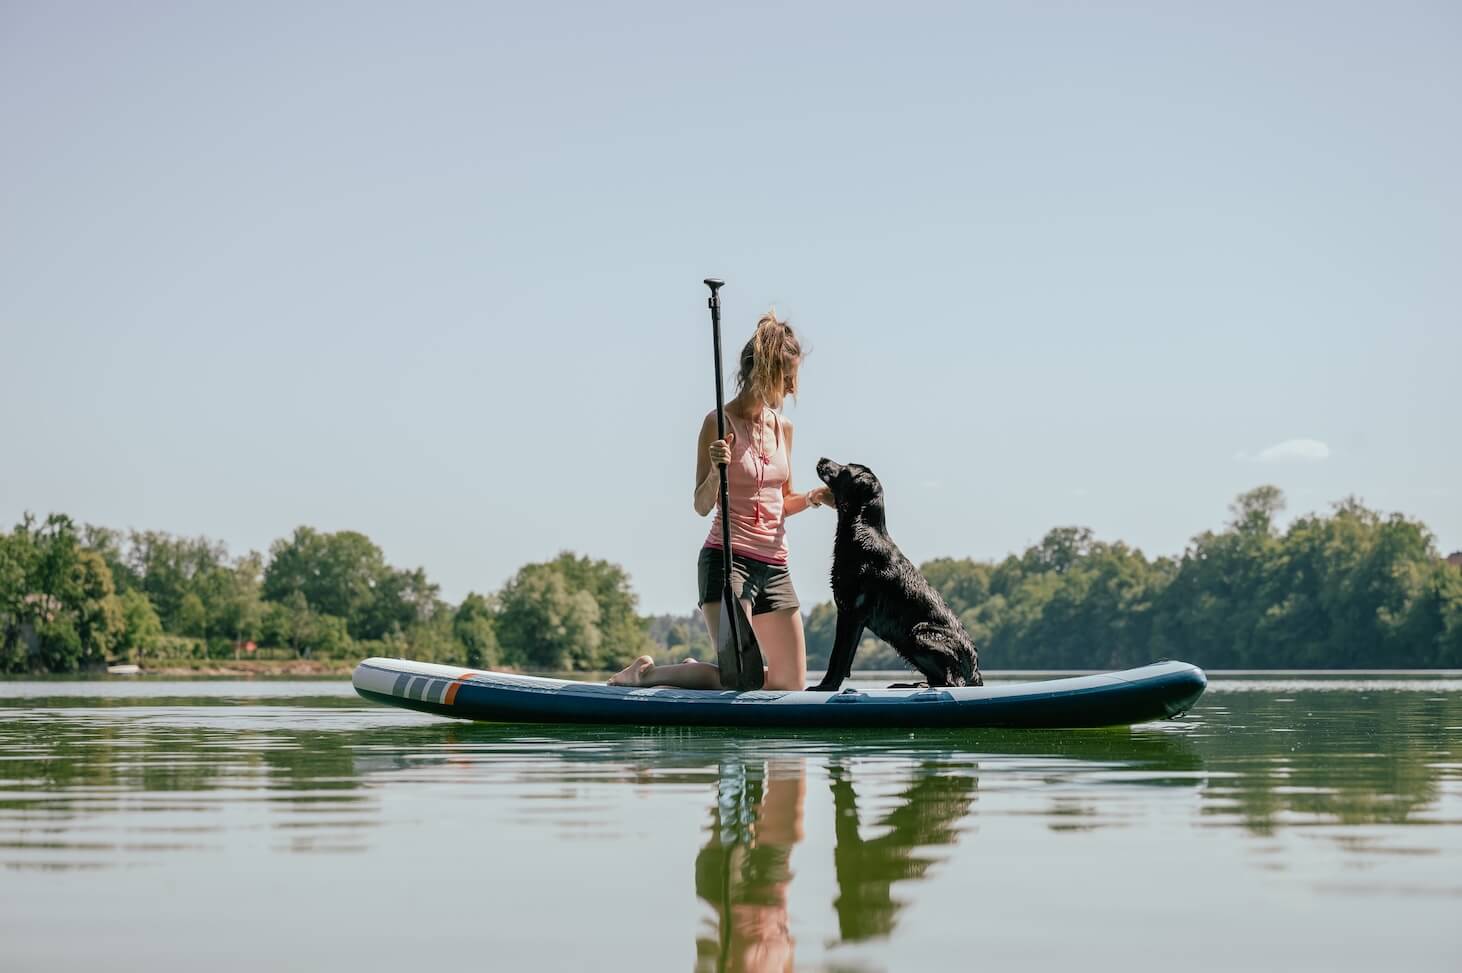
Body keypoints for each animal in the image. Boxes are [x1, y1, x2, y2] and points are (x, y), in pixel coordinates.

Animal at [812, 455, 982, 689]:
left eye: (845, 469)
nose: (822, 458)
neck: (862, 529)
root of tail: (975, 673)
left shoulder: (852, 612)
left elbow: (838, 657)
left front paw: (825, 687)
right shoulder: (849, 612)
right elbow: (842, 658)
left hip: (918, 635)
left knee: (951, 682)